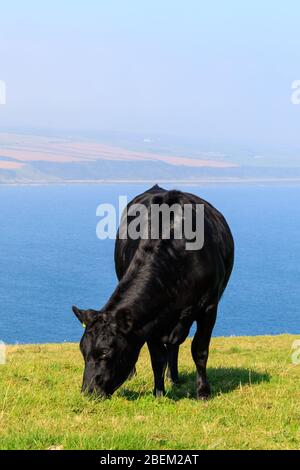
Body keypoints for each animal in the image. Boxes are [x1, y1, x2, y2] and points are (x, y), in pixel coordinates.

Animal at [72, 185, 234, 398]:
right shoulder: (150, 319)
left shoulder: (209, 306)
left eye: (106, 352)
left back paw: (174, 377)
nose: (88, 391)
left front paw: (203, 392)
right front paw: (159, 393)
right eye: (82, 350)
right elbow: (157, 358)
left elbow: (199, 350)